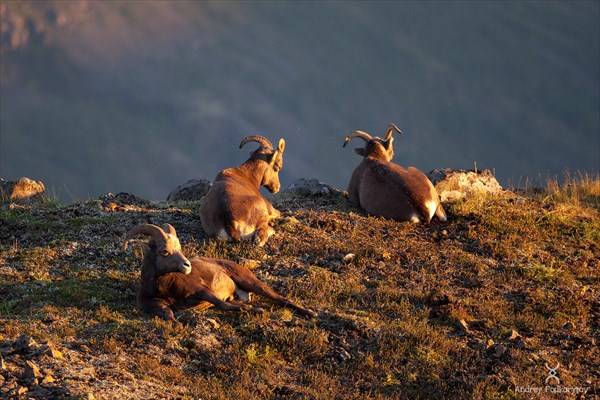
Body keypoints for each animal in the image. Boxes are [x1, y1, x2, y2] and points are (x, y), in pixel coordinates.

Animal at [123, 223, 318, 324]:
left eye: (179, 248)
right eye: (164, 251)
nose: (187, 266)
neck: (165, 288)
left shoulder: (203, 291)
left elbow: (223, 305)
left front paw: (256, 310)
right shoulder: (155, 305)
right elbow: (168, 313)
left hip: (252, 282)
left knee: (281, 299)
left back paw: (311, 314)